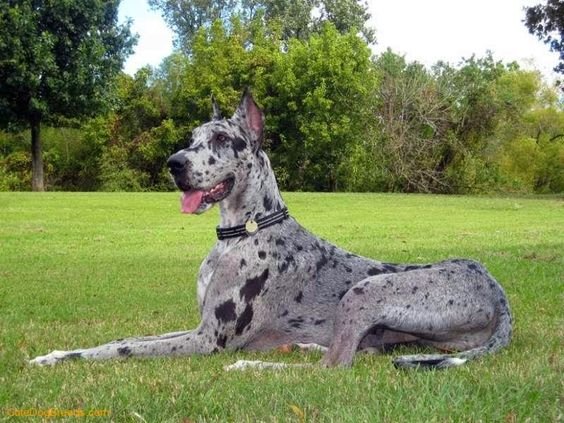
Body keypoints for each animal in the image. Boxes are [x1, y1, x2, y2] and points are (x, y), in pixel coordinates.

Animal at [29, 90, 512, 372]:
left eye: (223, 140)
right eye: (192, 137)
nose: (174, 163)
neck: (241, 232)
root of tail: (498, 291)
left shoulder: (209, 340)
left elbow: (124, 349)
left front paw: (58, 358)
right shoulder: (198, 325)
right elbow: (126, 338)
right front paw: (59, 350)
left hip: (365, 291)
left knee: (335, 368)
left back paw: (255, 365)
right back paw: (302, 347)